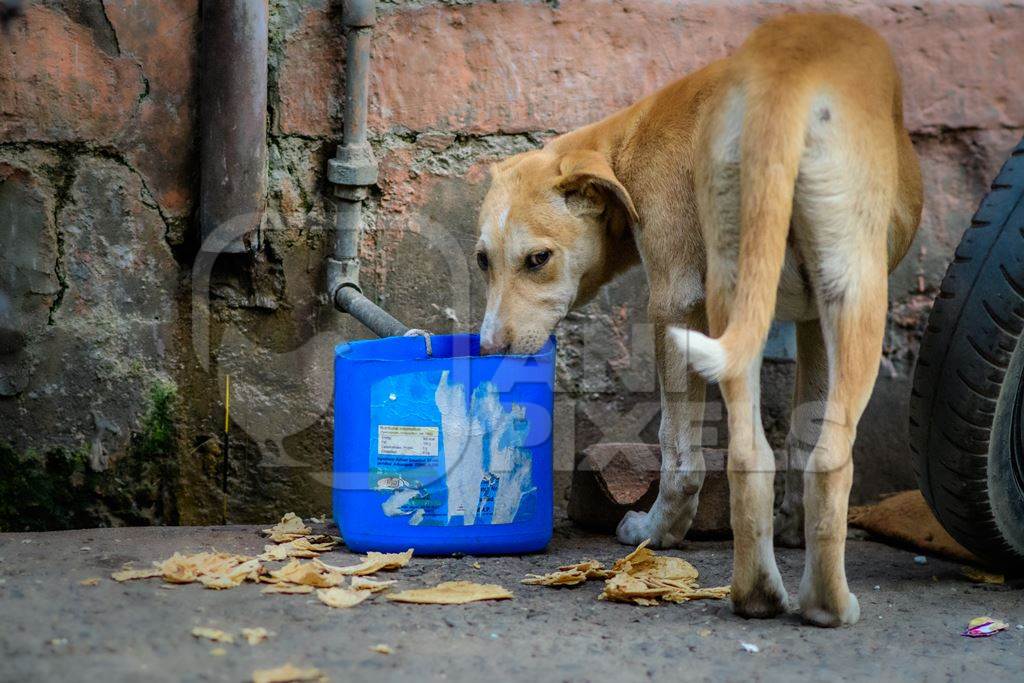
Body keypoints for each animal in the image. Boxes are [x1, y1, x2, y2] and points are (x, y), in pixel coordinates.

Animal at [475, 12, 925, 630]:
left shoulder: (755, 313)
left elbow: (777, 436)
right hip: (839, 293)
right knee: (808, 458)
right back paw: (805, 601)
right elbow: (705, 446)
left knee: (762, 455)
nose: (487, 349)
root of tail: (787, 79)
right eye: (482, 260)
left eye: (537, 259)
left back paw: (769, 594)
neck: (627, 141)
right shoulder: (693, 304)